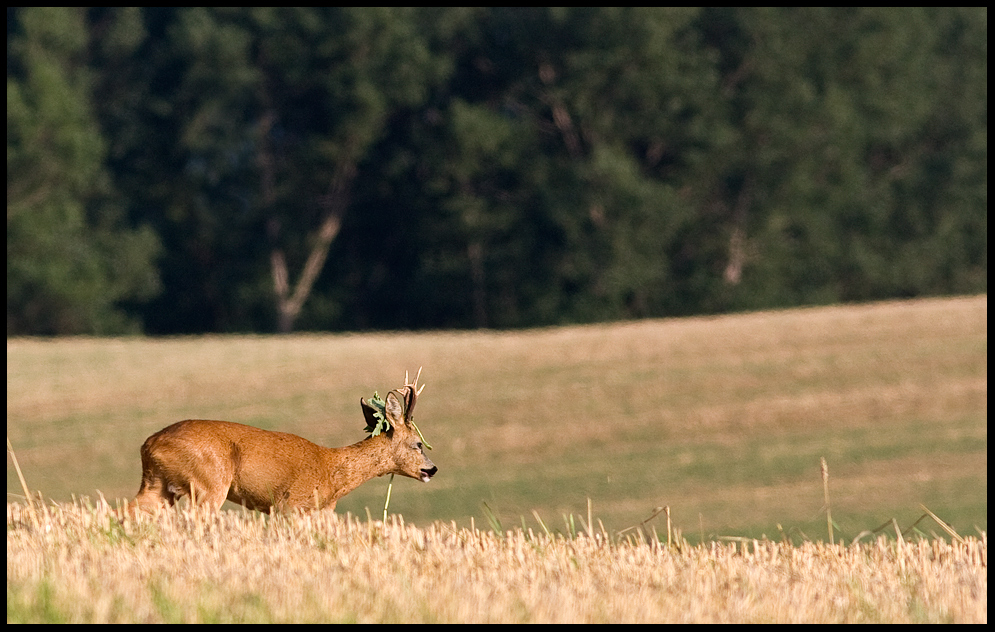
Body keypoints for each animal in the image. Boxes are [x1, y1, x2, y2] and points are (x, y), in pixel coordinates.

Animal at [129, 370, 436, 512]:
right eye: (418, 443)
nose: (431, 469)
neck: (332, 472)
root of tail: (149, 445)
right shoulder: (289, 504)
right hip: (209, 483)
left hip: (158, 485)